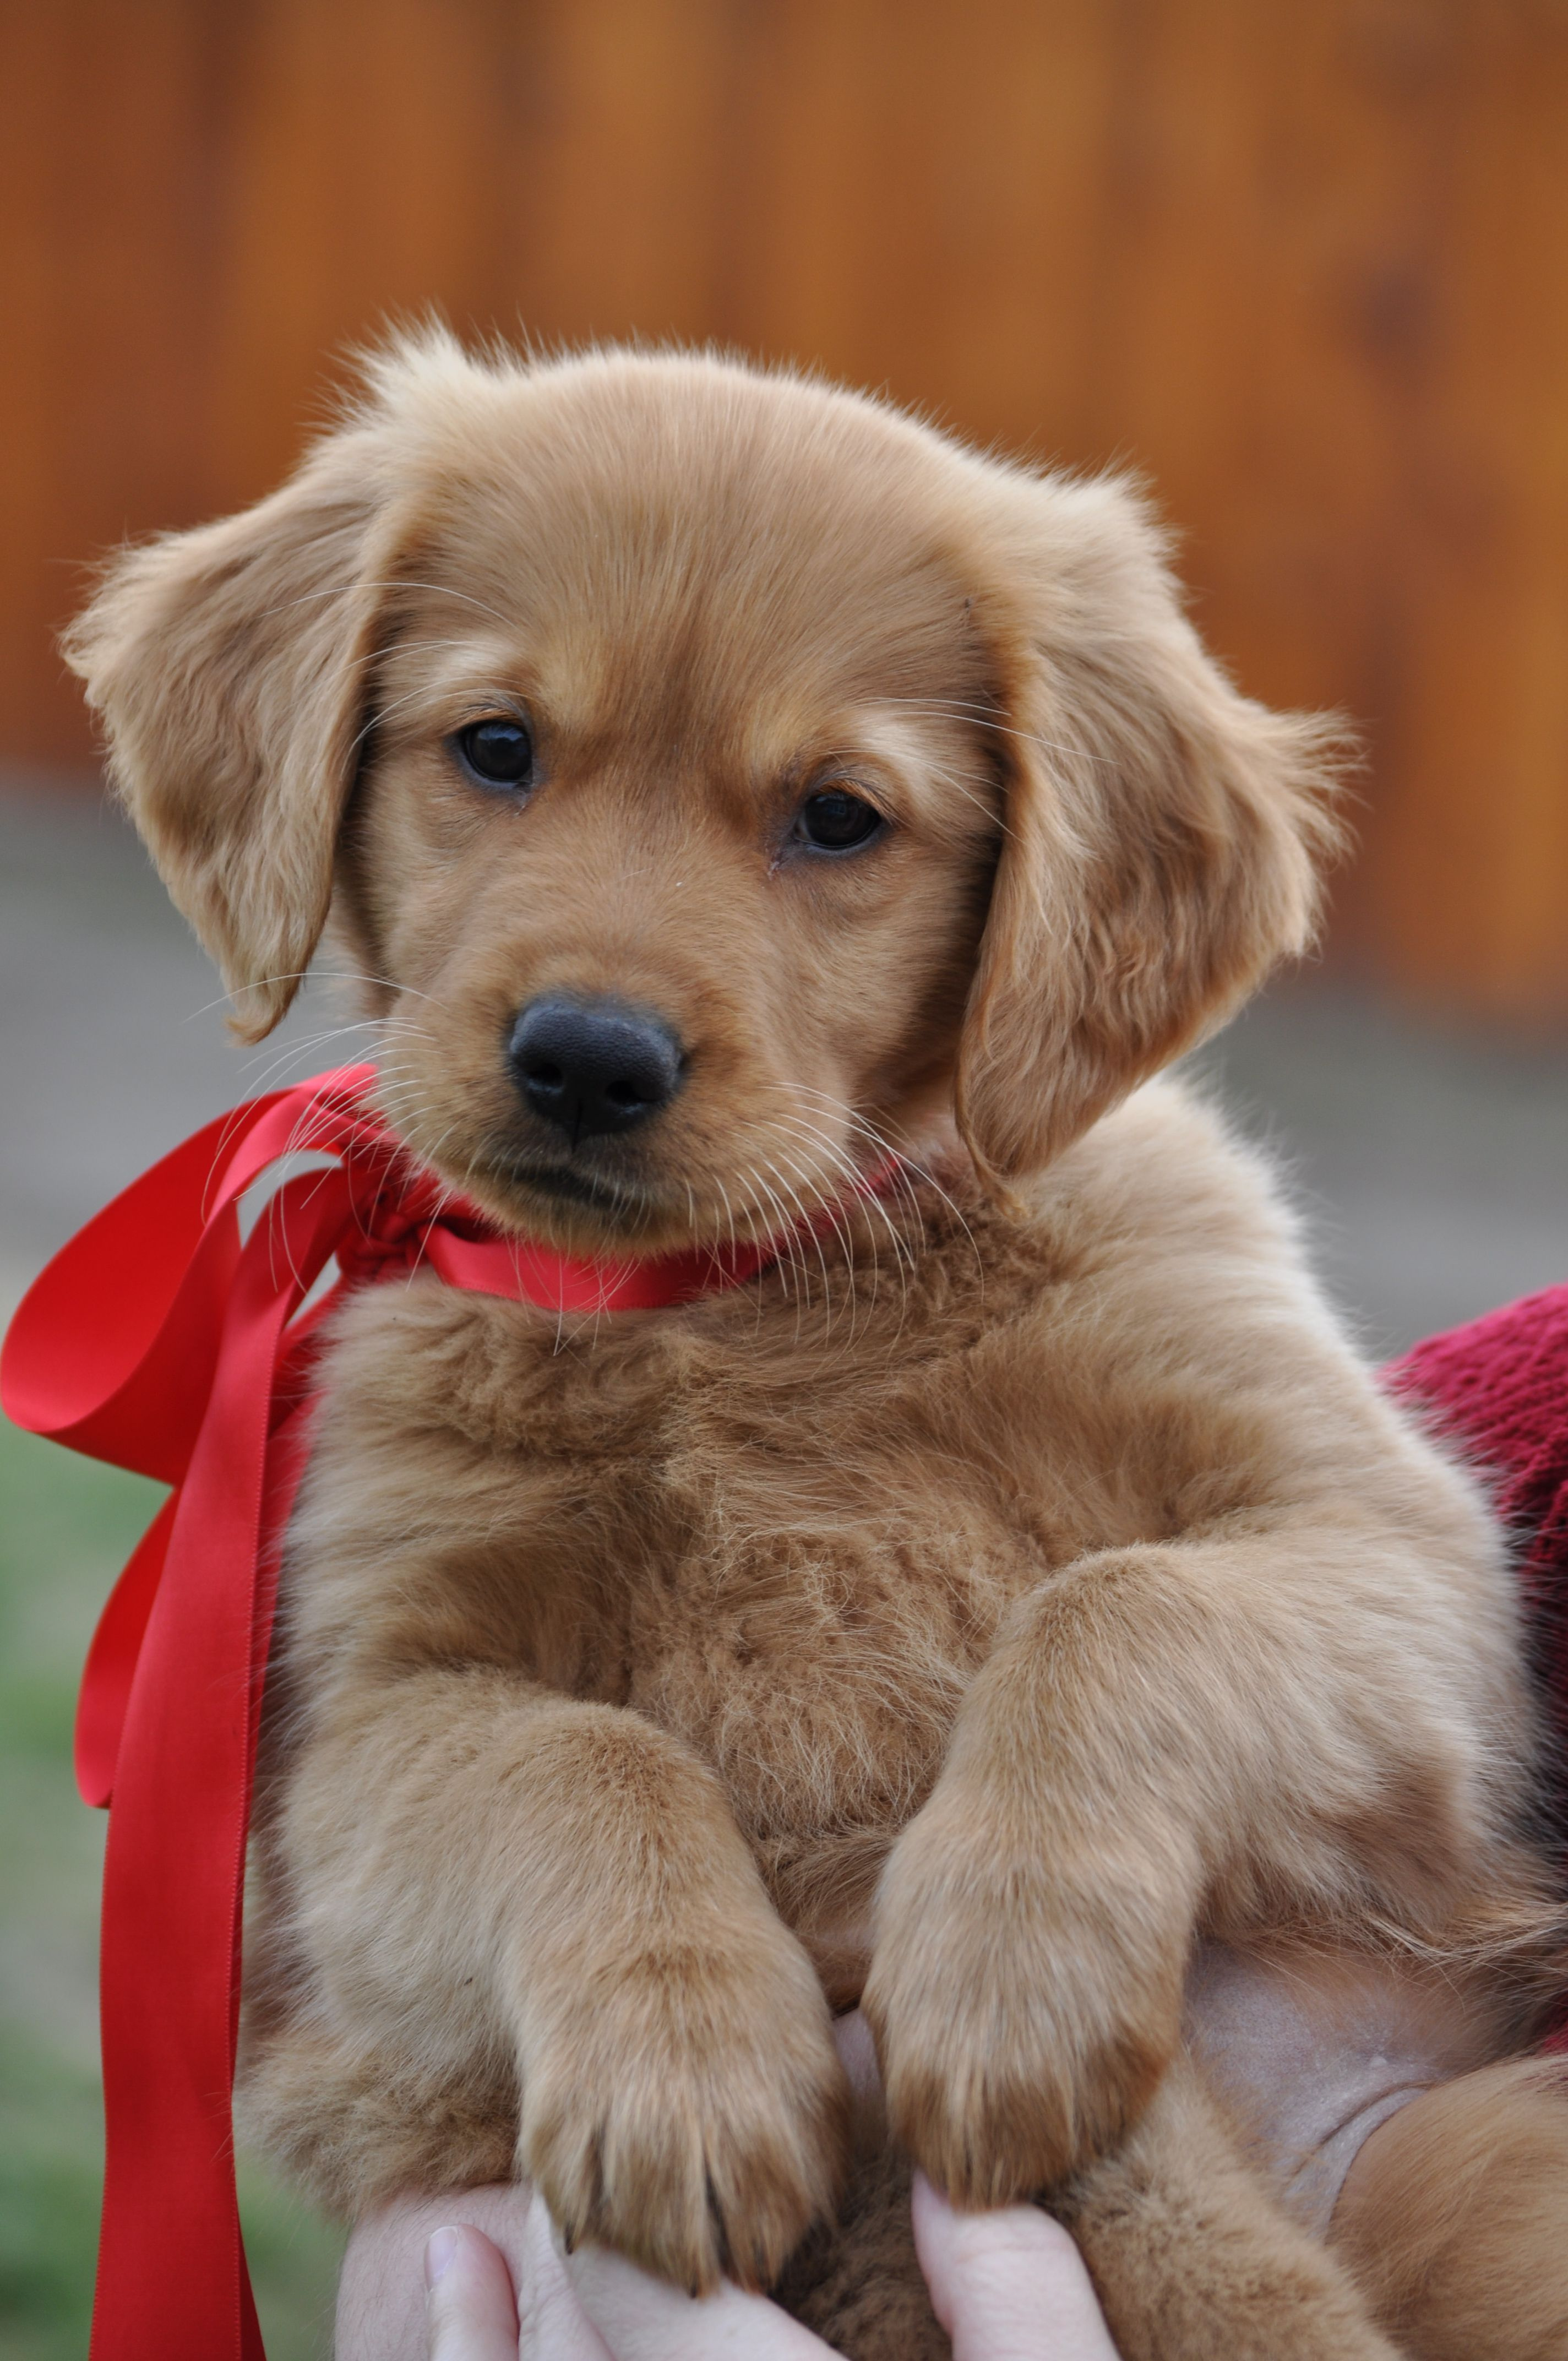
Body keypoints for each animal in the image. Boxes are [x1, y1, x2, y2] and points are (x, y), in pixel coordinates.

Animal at [67, 338, 1567, 2361]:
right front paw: (687, 2063)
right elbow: (582, 1763)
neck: (749, 1304)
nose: (586, 1057)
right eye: (495, 748)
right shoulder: (358, 1744)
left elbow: (1111, 1608)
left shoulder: (1402, 1563)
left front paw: (1003, 1967)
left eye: (838, 817)